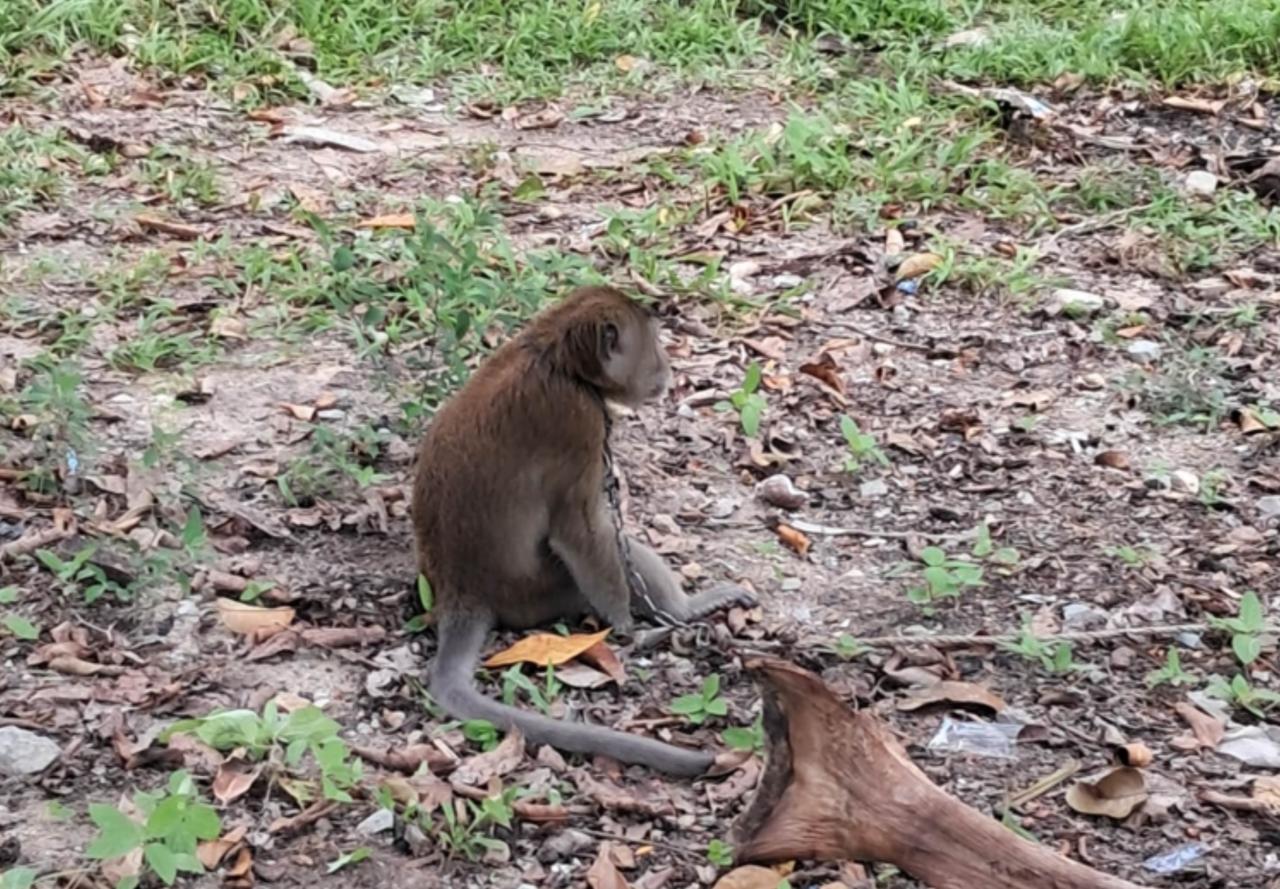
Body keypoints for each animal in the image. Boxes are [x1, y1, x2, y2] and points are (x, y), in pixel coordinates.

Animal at [413, 285, 755, 776]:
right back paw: (683, 612)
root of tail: (461, 592)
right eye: (653, 343)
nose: (667, 368)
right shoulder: (578, 421)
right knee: (614, 545)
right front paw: (626, 626)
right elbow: (581, 529)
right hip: (547, 590)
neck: (556, 358)